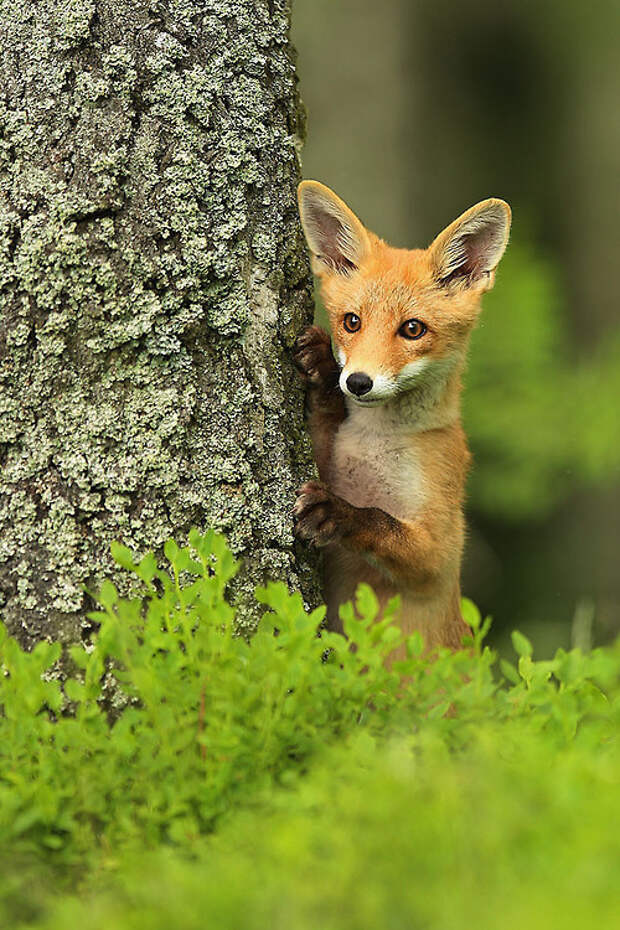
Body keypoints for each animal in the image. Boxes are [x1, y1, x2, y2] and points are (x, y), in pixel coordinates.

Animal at [294, 181, 512, 652]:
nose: (358, 382)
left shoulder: (441, 554)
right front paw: (322, 366)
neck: (374, 443)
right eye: (351, 322)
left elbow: (380, 520)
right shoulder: (327, 454)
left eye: (413, 329)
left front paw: (337, 512)